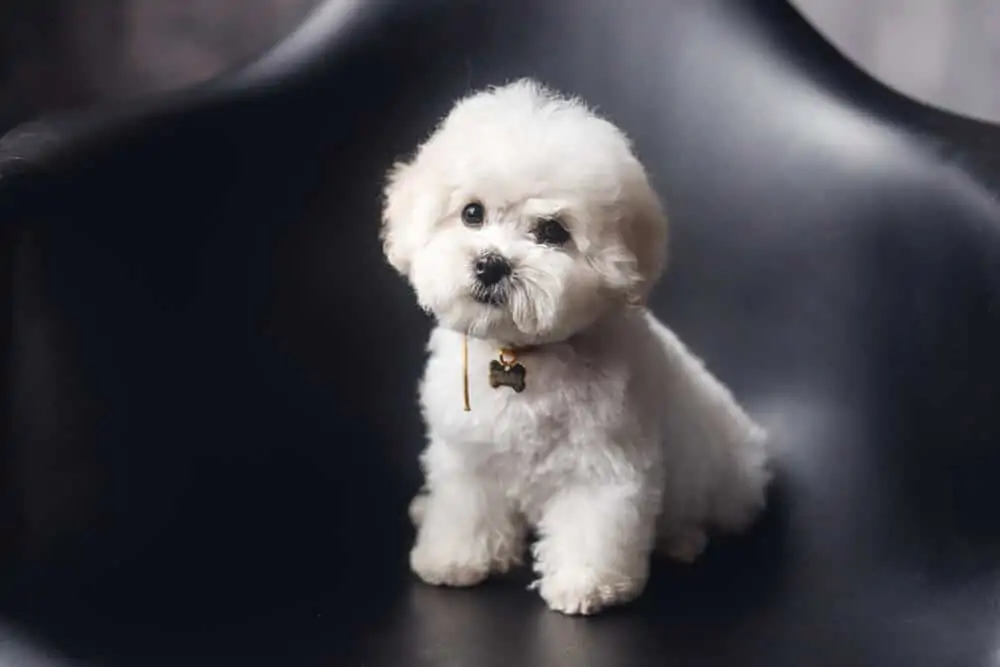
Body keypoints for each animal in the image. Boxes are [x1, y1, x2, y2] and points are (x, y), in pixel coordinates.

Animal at [378, 78, 768, 616]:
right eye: (472, 213)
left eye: (552, 231)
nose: (491, 264)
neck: (521, 355)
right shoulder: (468, 453)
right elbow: (466, 504)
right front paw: (455, 558)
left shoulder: (605, 463)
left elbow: (595, 521)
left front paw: (589, 584)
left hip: (720, 479)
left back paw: (682, 541)